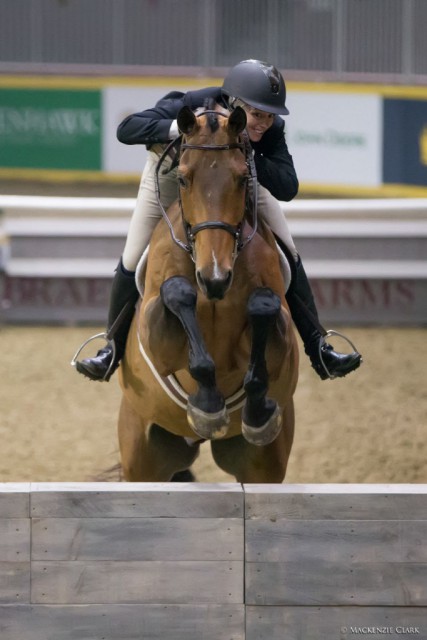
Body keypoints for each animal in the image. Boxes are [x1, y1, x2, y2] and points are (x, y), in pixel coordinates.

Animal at [115, 101, 300, 480]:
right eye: (184, 178)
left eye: (243, 178)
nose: (214, 278)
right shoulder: (157, 339)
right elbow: (177, 293)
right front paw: (208, 406)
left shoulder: (283, 342)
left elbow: (263, 306)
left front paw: (256, 413)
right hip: (141, 455)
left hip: (263, 466)